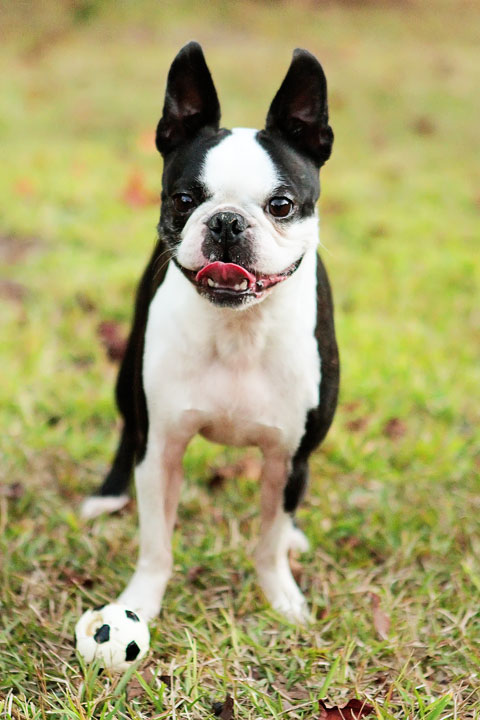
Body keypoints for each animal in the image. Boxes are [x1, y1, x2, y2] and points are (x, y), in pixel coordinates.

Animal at [81, 42, 338, 620]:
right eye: (183, 200)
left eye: (281, 205)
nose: (225, 221)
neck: (238, 327)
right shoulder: (161, 449)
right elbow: (156, 543)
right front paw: (139, 603)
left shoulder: (290, 457)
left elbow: (269, 540)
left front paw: (282, 598)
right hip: (128, 375)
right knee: (127, 427)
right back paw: (108, 495)